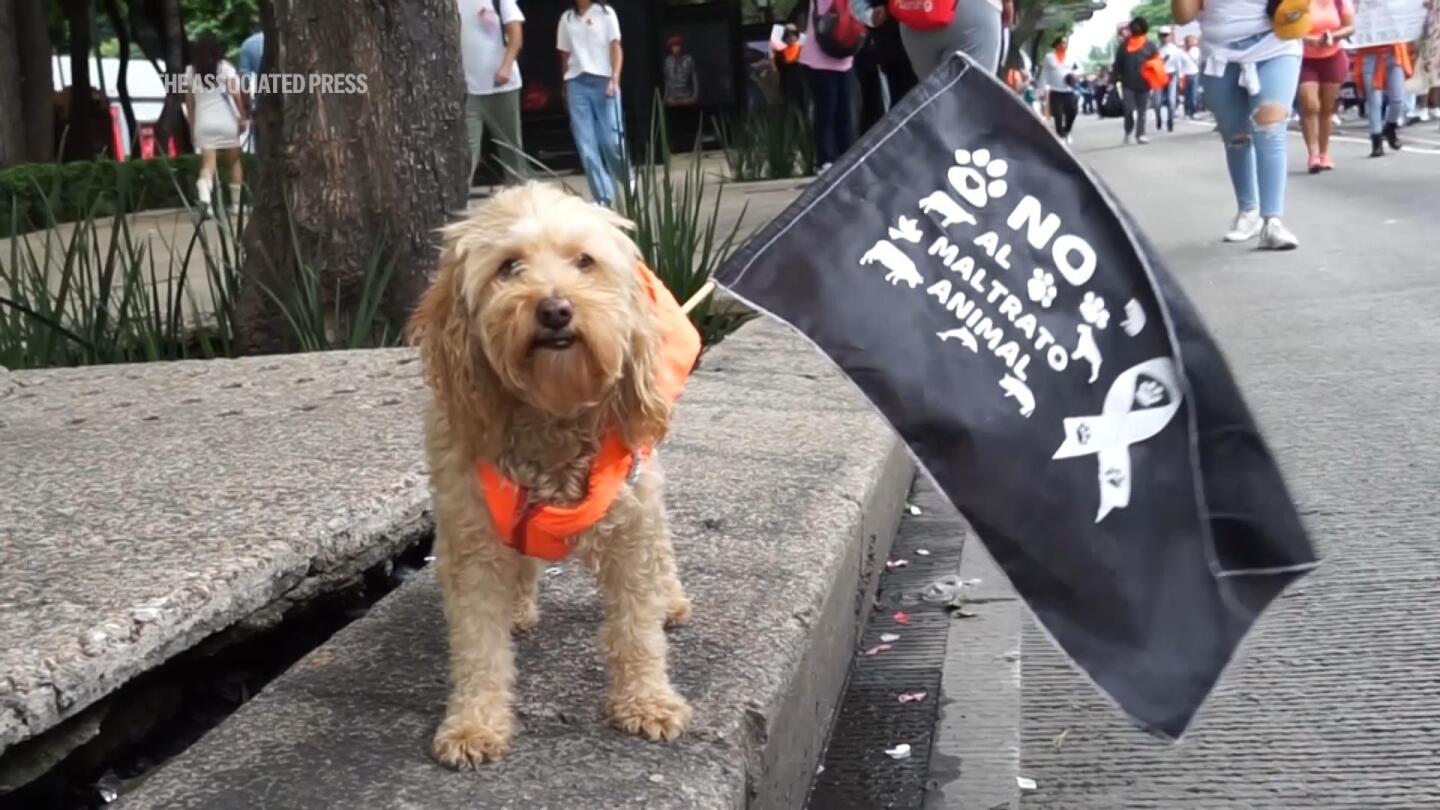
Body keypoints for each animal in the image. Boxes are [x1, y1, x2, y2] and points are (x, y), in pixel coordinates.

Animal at [408, 184, 694, 766]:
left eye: (585, 261)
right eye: (508, 267)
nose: (555, 309)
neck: (552, 416)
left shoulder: (632, 524)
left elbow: (637, 629)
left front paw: (647, 700)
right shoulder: (470, 537)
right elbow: (478, 644)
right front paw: (474, 723)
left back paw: (671, 599)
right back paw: (518, 605)